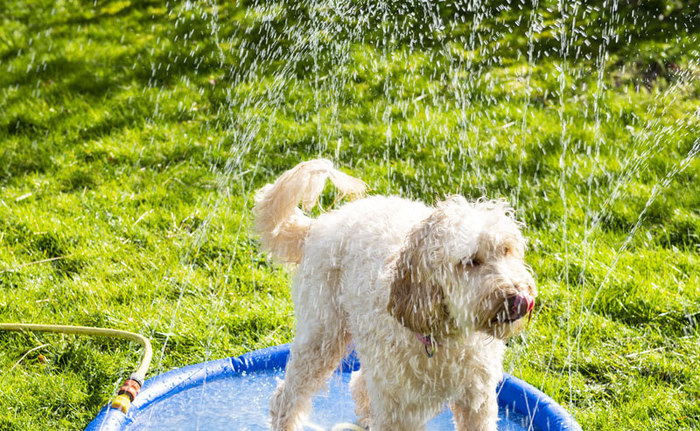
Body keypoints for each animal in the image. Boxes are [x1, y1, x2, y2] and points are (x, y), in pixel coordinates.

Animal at [254, 160, 540, 430]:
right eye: (470, 261)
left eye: (506, 250)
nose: (519, 299)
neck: (445, 337)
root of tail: (320, 224)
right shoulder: (400, 412)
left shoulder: (476, 401)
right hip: (322, 336)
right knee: (287, 397)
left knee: (359, 383)